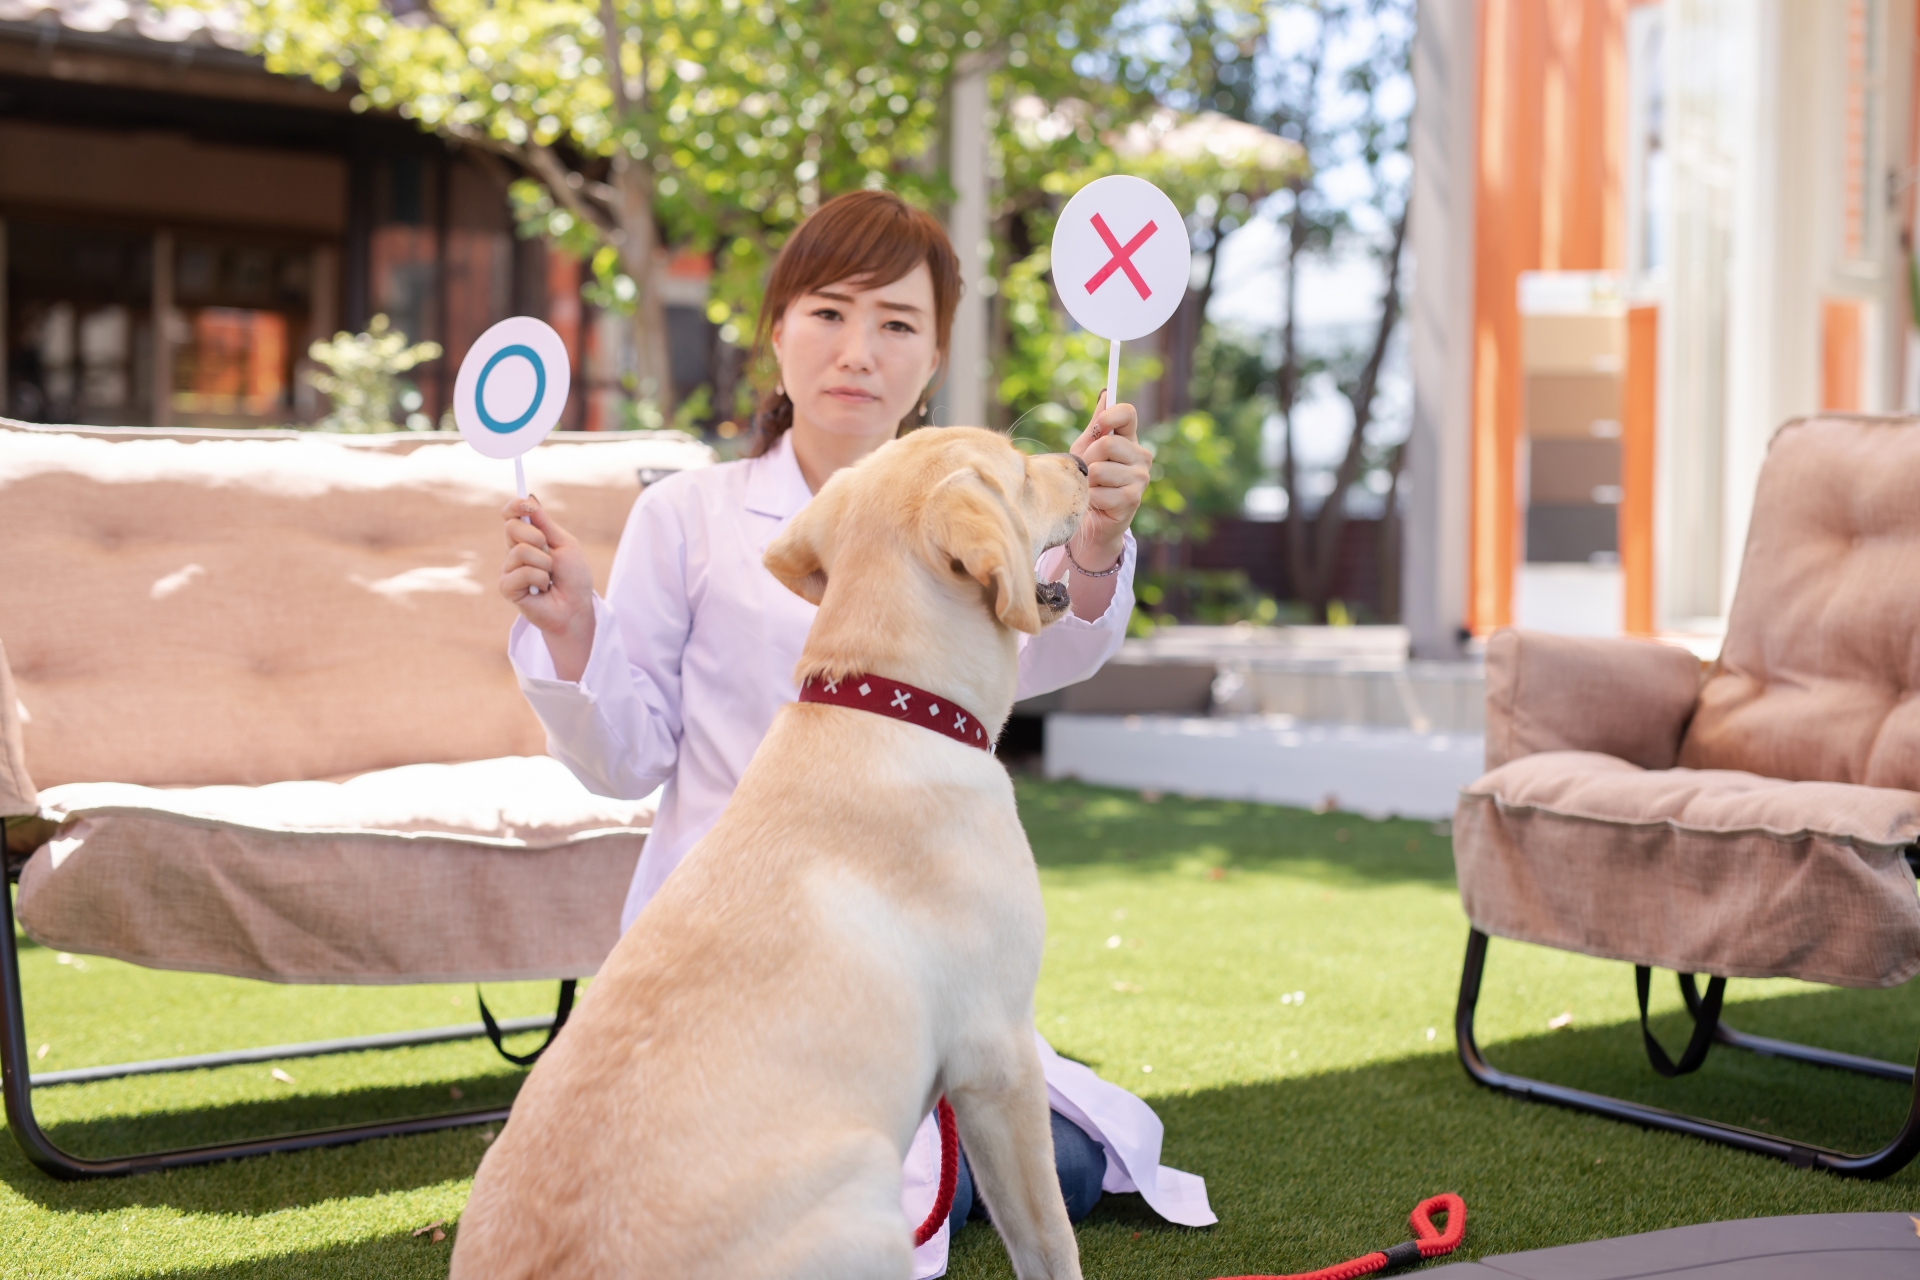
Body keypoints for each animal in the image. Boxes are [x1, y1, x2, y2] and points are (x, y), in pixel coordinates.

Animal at [441, 426, 1090, 1274]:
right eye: (1022, 473)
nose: (1083, 463)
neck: (891, 704)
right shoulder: (998, 1055)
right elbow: (1048, 1239)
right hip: (869, 1189)